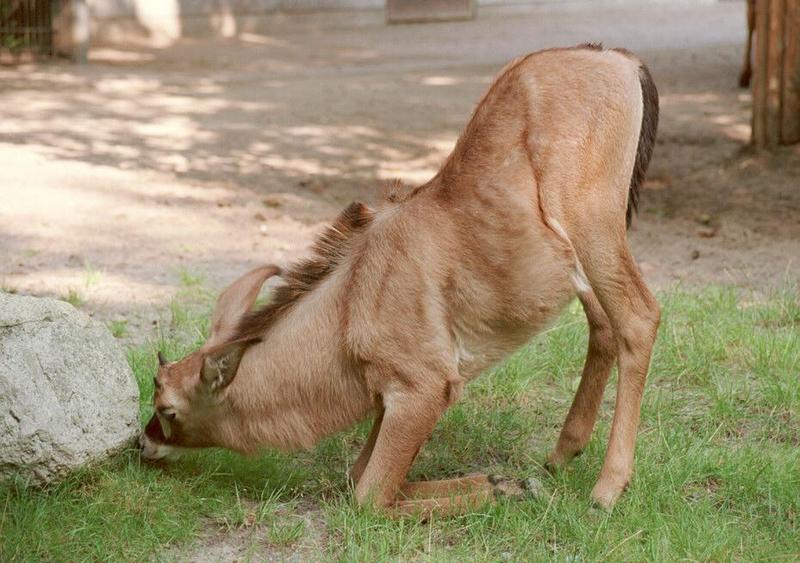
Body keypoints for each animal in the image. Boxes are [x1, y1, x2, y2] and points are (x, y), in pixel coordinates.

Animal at [141, 45, 660, 520]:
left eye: (169, 409)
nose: (145, 445)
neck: (352, 302)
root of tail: (619, 60)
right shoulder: (391, 400)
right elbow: (366, 477)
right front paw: (500, 482)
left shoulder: (423, 392)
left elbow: (370, 495)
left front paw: (504, 490)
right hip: (583, 265)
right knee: (605, 325)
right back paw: (561, 454)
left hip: (594, 231)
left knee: (638, 319)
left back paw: (607, 488)